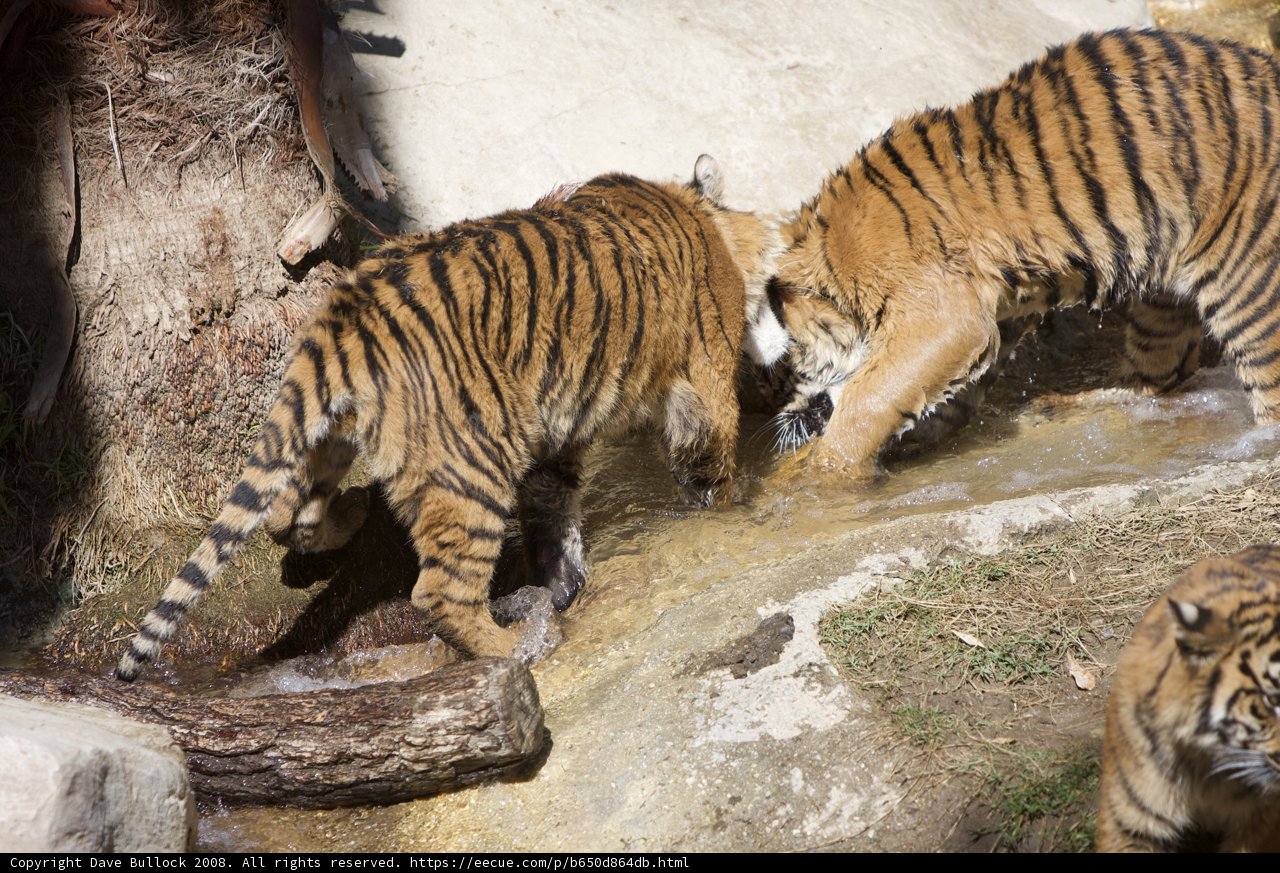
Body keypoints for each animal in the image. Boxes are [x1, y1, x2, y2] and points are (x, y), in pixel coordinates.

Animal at [115, 155, 782, 681]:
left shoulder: (556, 440)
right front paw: (729, 509)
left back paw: (350, 516)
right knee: (440, 593)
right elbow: (710, 465)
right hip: (473, 465)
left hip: (328, 433)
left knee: (285, 510)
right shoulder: (706, 386)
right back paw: (516, 648)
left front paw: (562, 581)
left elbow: (554, 512)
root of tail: (347, 310)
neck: (709, 218)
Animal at [756, 28, 1280, 477]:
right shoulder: (991, 313)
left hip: (1252, 289)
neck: (837, 260)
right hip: (1162, 302)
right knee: (1161, 381)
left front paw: (826, 477)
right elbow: (941, 400)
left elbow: (868, 399)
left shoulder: (941, 315)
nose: (780, 421)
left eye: (790, 366)